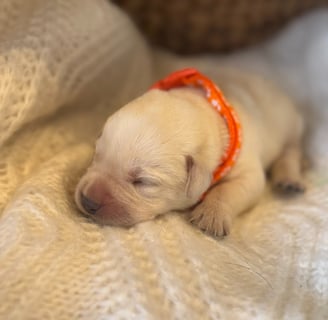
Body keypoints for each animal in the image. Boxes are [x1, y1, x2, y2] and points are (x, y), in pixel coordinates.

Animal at [75, 67, 304, 236]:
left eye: (143, 182)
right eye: (97, 156)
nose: (88, 201)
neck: (207, 109)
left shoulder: (247, 169)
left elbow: (230, 189)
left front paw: (212, 216)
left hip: (291, 127)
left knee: (291, 151)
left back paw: (289, 180)